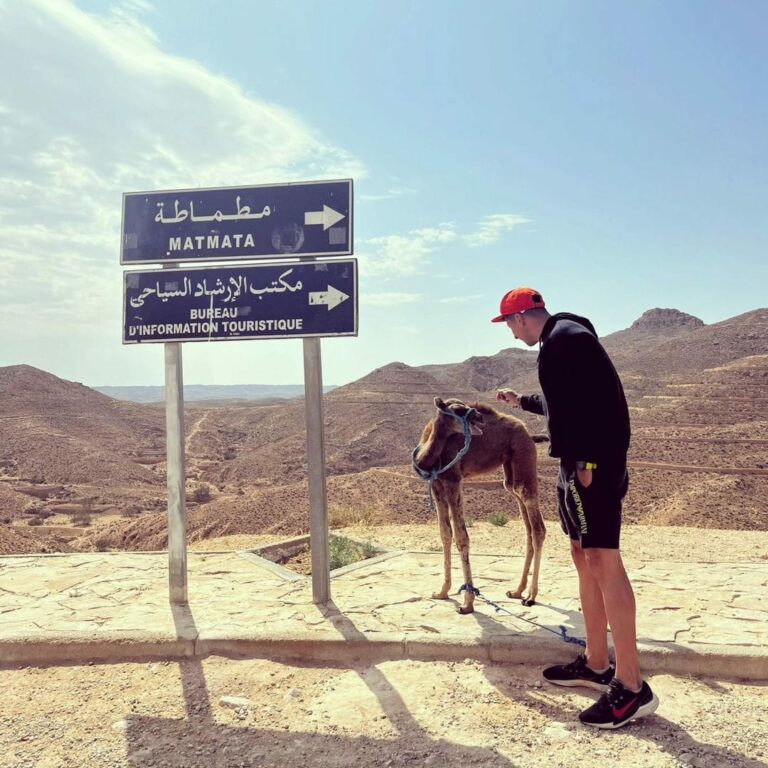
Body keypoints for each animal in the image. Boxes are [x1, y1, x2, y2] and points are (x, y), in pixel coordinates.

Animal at [414, 400, 544, 616]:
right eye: (458, 409)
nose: (479, 416)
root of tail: (528, 433)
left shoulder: (453, 480)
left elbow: (461, 538)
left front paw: (467, 603)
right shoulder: (436, 485)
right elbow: (445, 534)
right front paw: (442, 592)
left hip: (524, 458)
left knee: (538, 527)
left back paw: (531, 596)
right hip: (511, 476)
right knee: (528, 528)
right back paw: (517, 591)